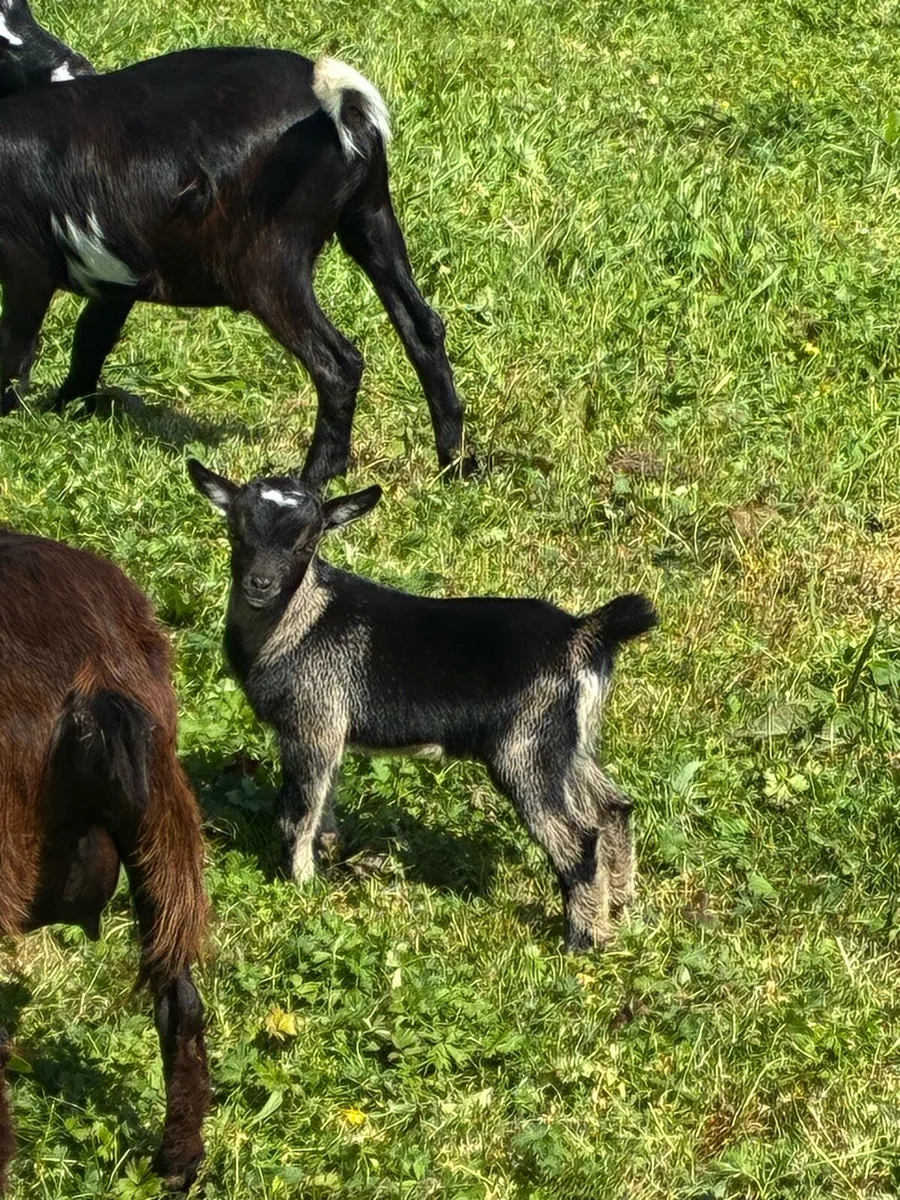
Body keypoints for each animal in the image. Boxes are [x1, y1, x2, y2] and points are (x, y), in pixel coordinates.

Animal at [0, 37, 473, 487]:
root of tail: (339, 106)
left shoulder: (27, 268)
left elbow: (16, 349)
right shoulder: (119, 275)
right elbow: (91, 337)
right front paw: (65, 406)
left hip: (269, 266)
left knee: (338, 362)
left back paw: (315, 478)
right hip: (370, 219)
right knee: (423, 328)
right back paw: (459, 464)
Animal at [188, 460, 658, 951]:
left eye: (307, 542)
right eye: (237, 531)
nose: (260, 584)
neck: (301, 623)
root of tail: (583, 635)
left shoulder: (312, 723)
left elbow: (297, 811)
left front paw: (300, 885)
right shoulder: (330, 732)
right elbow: (324, 803)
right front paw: (330, 861)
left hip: (525, 748)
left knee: (578, 838)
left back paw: (582, 941)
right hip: (570, 744)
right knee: (613, 809)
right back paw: (619, 910)